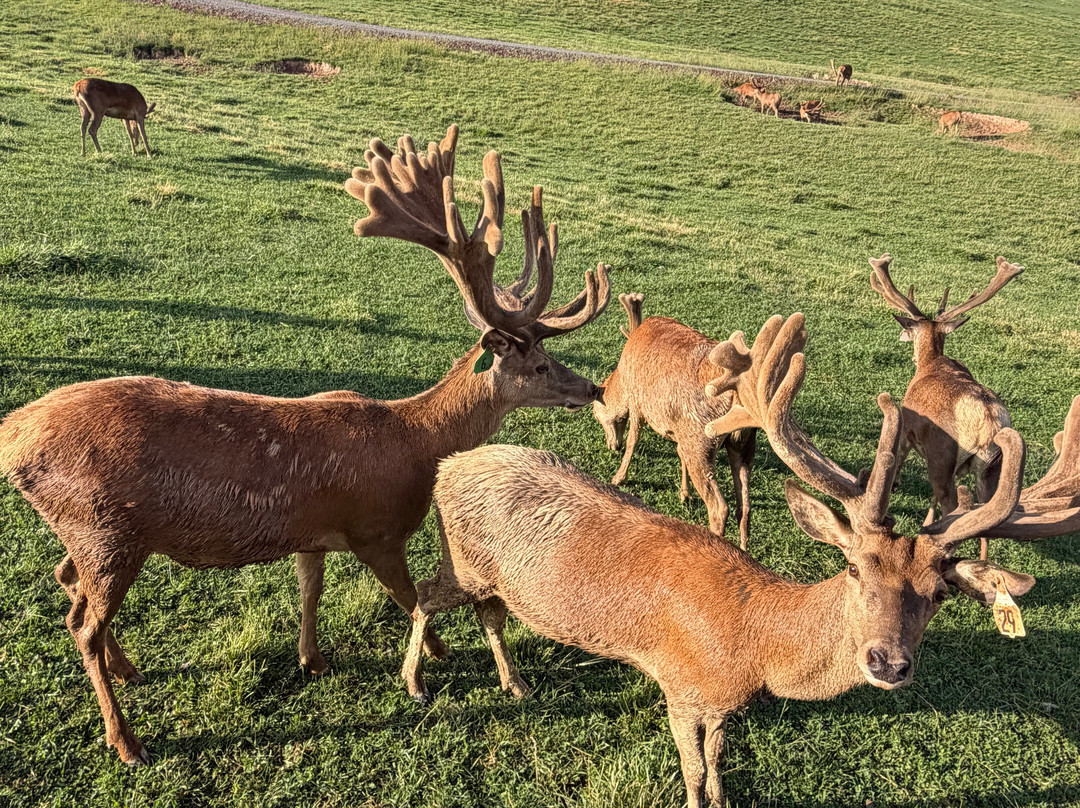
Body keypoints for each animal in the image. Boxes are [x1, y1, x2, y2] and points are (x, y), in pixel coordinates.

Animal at [0, 124, 611, 766]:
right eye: (540, 365)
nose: (591, 387)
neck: (418, 442)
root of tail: (11, 439)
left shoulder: (313, 531)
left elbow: (309, 588)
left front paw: (311, 658)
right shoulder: (377, 528)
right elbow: (408, 595)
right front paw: (437, 657)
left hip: (89, 530)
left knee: (68, 585)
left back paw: (129, 670)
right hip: (106, 528)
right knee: (84, 625)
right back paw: (126, 739)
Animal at [592, 292, 756, 547]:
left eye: (595, 412)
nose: (612, 446)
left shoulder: (638, 401)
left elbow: (633, 438)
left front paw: (618, 477)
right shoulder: (678, 427)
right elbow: (679, 451)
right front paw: (684, 493)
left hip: (701, 439)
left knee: (719, 507)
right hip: (744, 442)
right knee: (745, 507)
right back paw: (742, 549)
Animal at [869, 253, 1023, 559]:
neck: (930, 363)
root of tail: (988, 421)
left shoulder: (907, 429)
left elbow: (900, 456)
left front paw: (895, 485)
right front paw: (928, 521)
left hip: (943, 453)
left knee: (952, 504)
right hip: (992, 467)